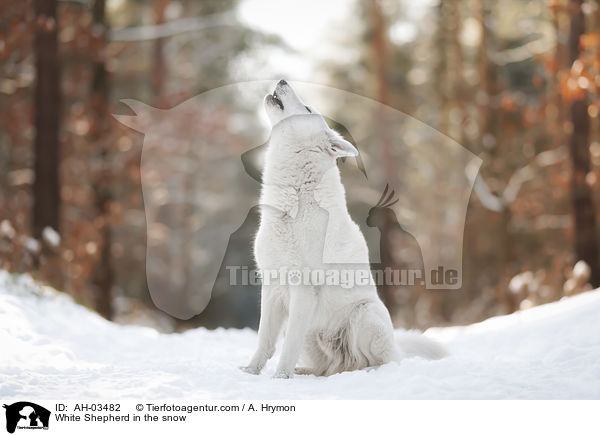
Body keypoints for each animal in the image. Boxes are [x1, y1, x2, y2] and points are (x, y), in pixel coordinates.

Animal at [240, 81, 446, 378]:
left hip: (366, 317)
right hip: (314, 339)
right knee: (327, 368)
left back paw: (369, 371)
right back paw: (307, 372)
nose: (282, 81)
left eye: (307, 109)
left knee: (385, 361)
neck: (295, 199)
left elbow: (286, 346)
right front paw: (250, 372)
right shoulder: (272, 286)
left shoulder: (302, 289)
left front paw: (280, 378)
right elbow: (264, 341)